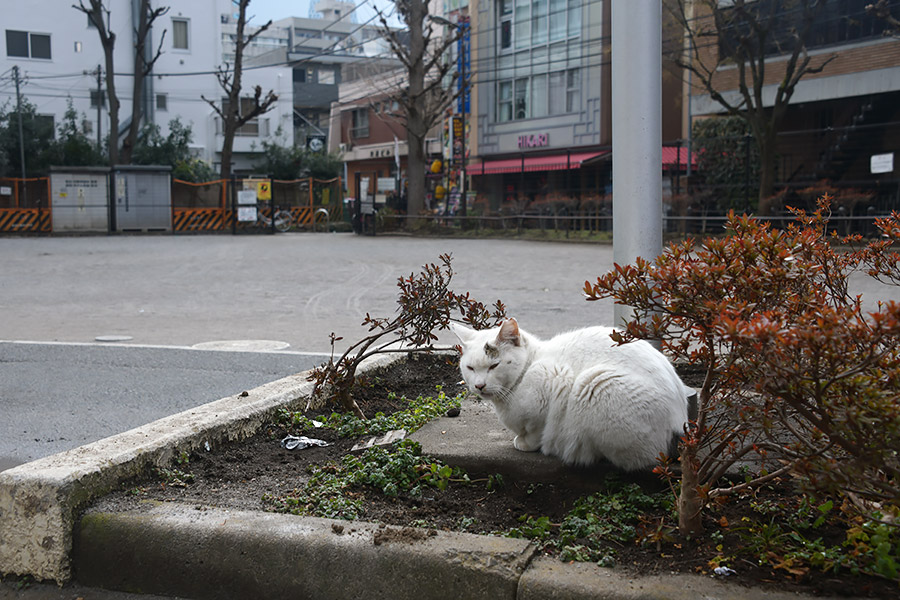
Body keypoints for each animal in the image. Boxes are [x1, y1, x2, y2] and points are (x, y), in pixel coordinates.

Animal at [448, 316, 688, 472]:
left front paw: (526, 443)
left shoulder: (553, 380)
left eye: (494, 366)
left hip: (593, 382)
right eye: (470, 368)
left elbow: (537, 430)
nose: (479, 385)